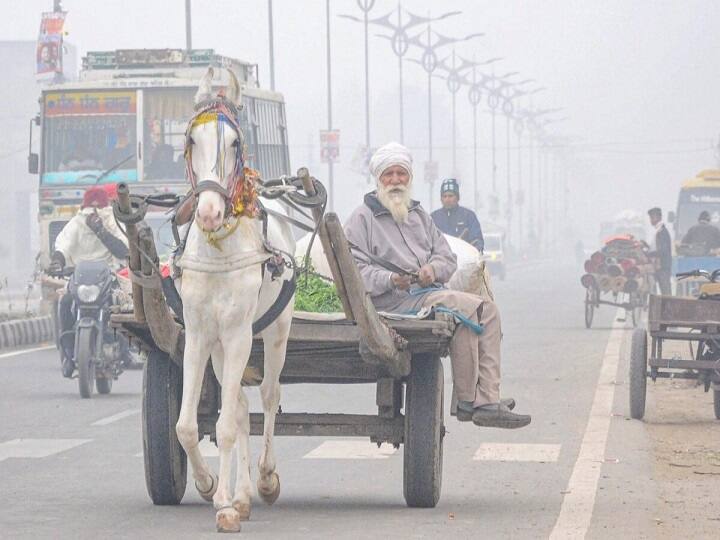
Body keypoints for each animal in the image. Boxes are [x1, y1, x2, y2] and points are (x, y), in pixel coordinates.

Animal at [174, 66, 296, 532]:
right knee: (241, 405)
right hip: (221, 348)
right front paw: (210, 486)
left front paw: (224, 507)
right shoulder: (199, 336)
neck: (219, 247)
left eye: (235, 143)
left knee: (268, 396)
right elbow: (188, 425)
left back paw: (264, 480)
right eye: (192, 141)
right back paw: (242, 494)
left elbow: (225, 424)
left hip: (274, 331)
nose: (208, 212)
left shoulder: (240, 333)